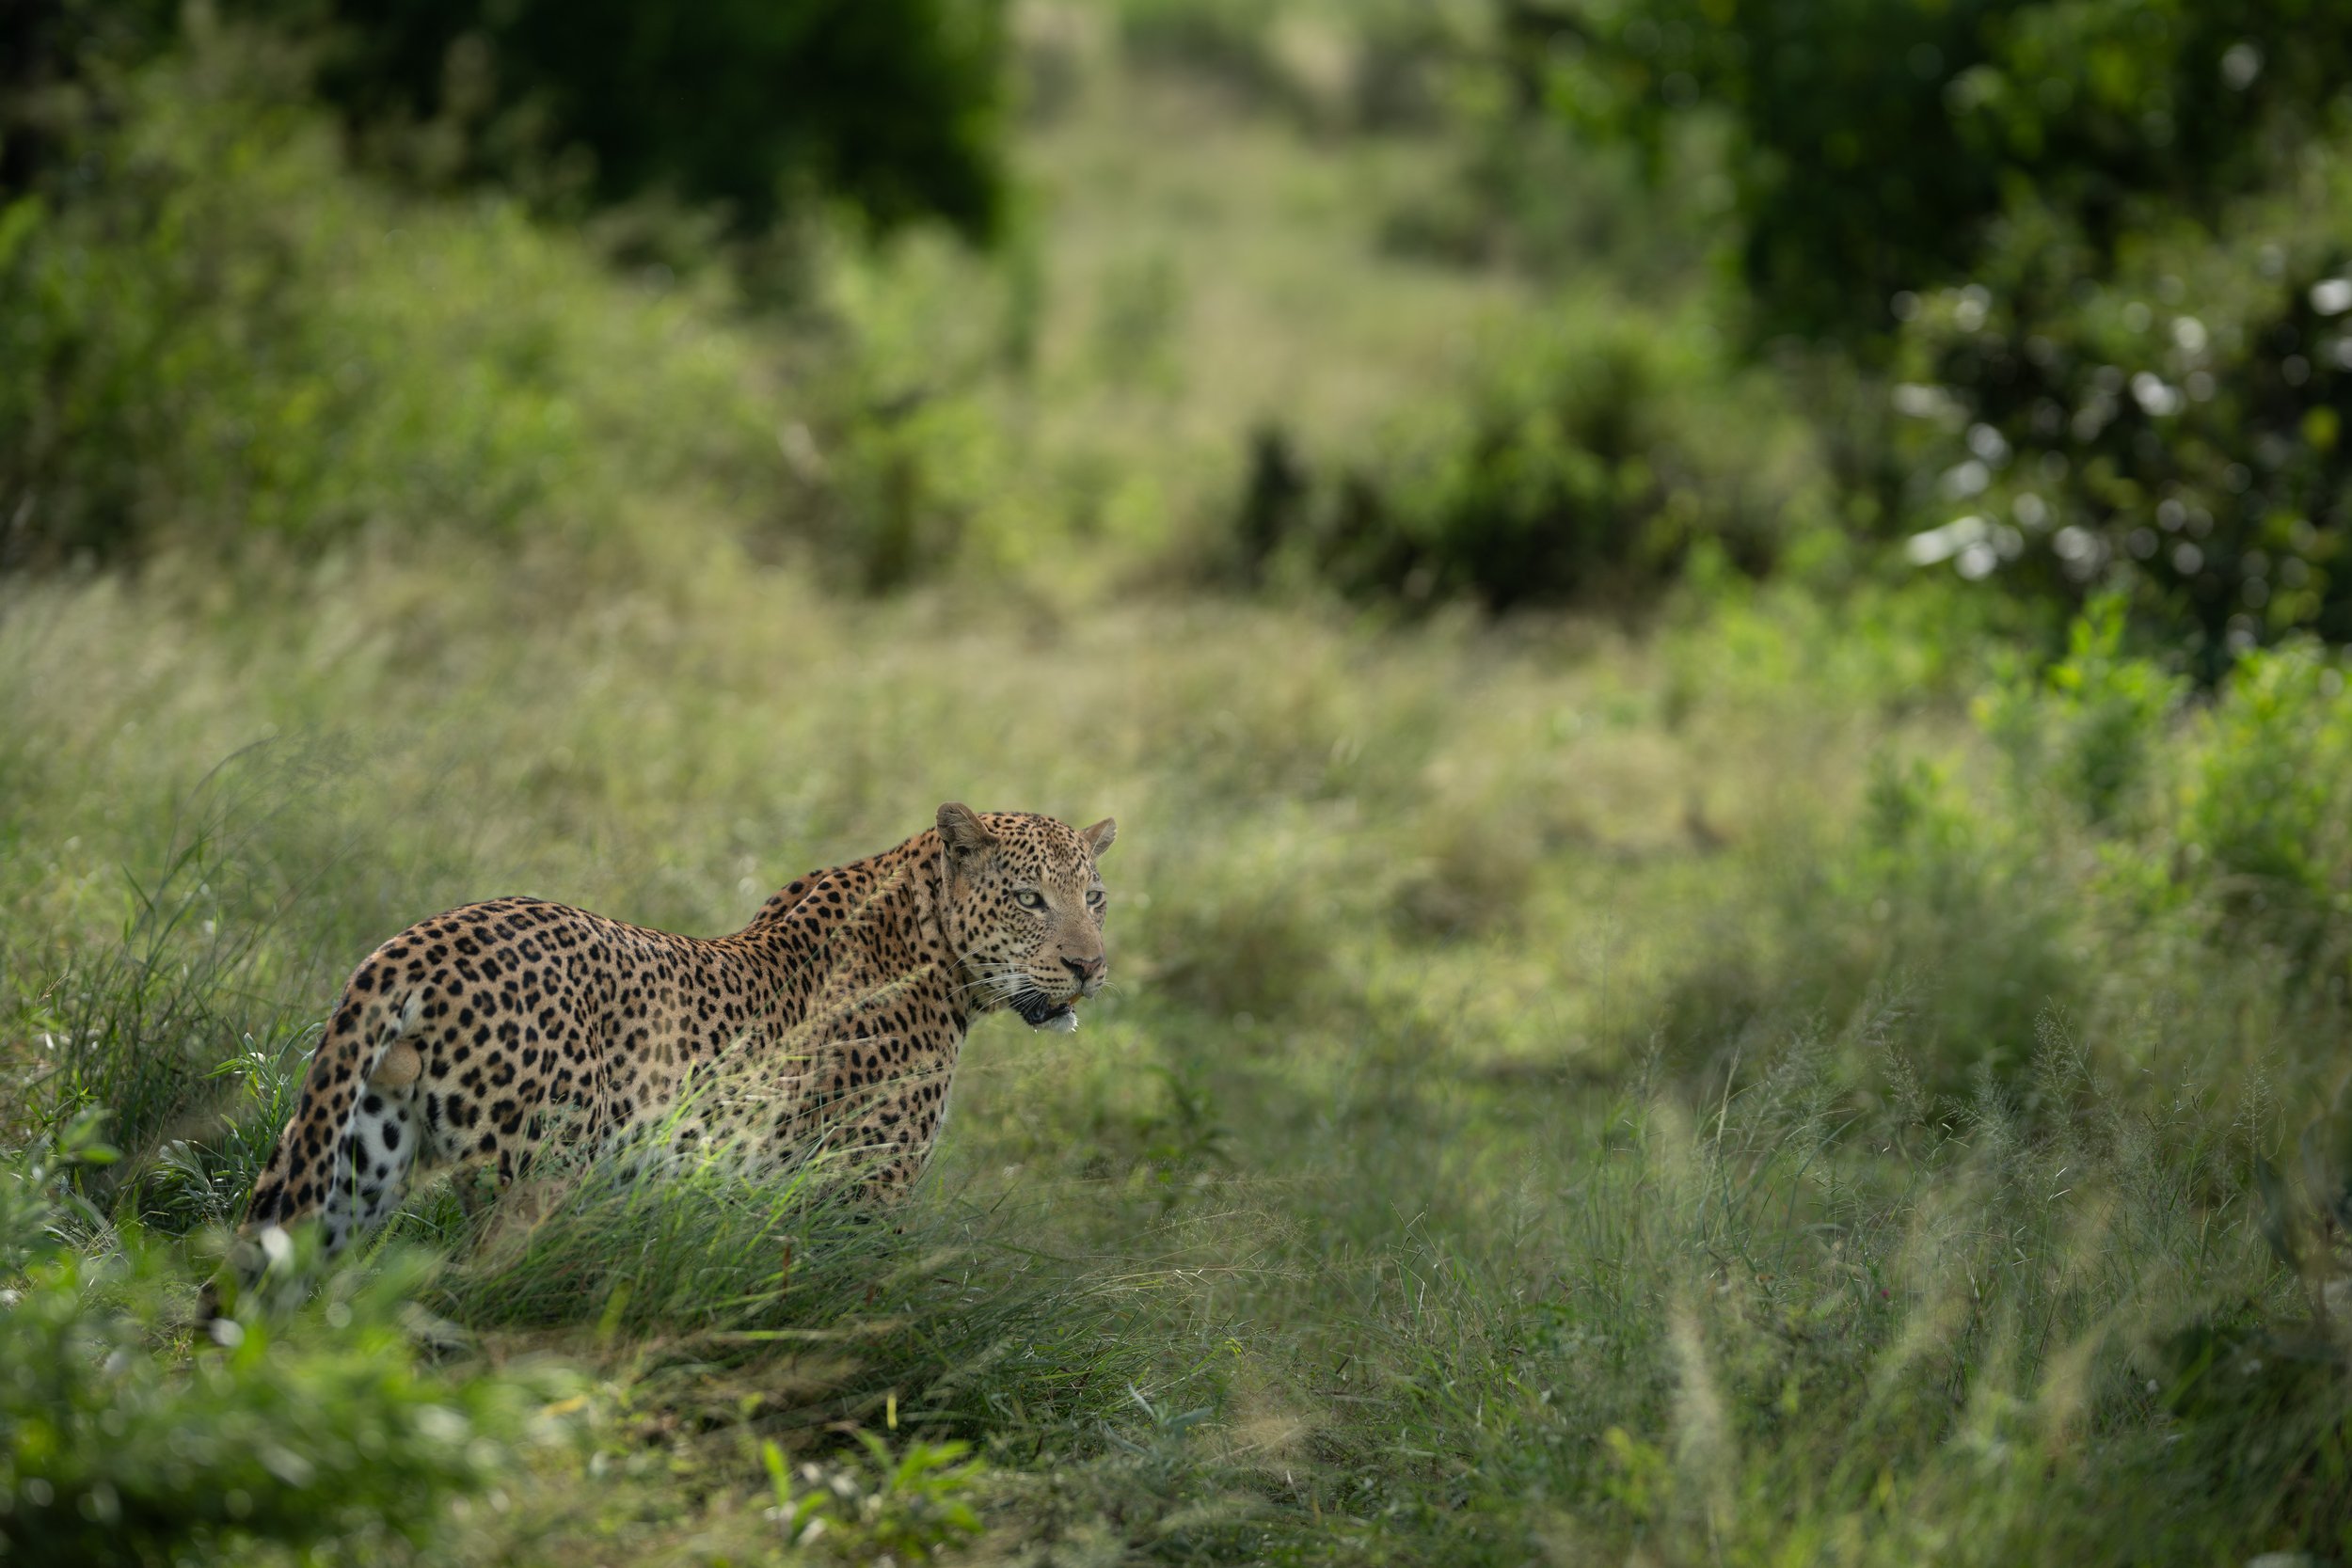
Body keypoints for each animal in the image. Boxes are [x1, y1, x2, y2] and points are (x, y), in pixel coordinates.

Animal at [228, 803, 1115, 1272]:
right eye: (1030, 898)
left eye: (1096, 897)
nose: (1090, 965)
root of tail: (414, 943)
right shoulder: (867, 1189)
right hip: (538, 1176)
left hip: (351, 1167)